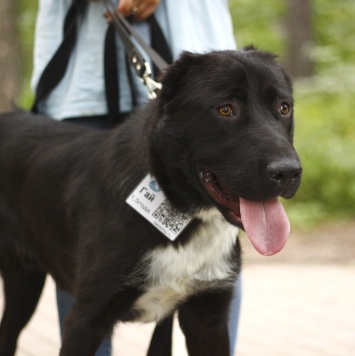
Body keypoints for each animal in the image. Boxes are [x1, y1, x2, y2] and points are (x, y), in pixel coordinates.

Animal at [0, 48, 304, 356]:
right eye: (225, 109)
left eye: (284, 108)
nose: (288, 172)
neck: (182, 211)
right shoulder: (86, 318)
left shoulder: (208, 316)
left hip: (24, 286)